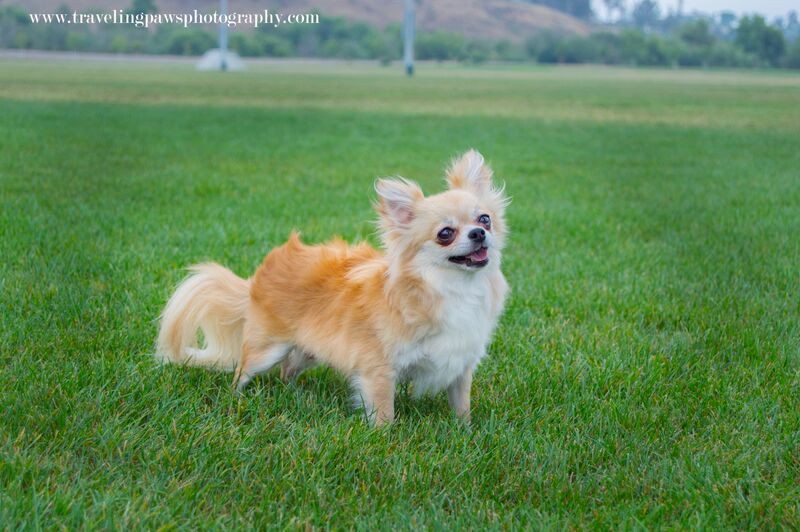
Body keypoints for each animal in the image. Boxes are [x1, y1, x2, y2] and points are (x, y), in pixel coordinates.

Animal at [155, 150, 506, 424]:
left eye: (485, 219)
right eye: (445, 233)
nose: (478, 233)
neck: (451, 288)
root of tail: (257, 277)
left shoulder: (461, 364)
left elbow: (461, 403)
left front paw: (465, 431)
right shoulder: (378, 369)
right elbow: (384, 412)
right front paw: (386, 439)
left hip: (309, 349)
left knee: (288, 369)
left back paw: (292, 392)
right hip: (266, 349)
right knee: (243, 371)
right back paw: (237, 398)